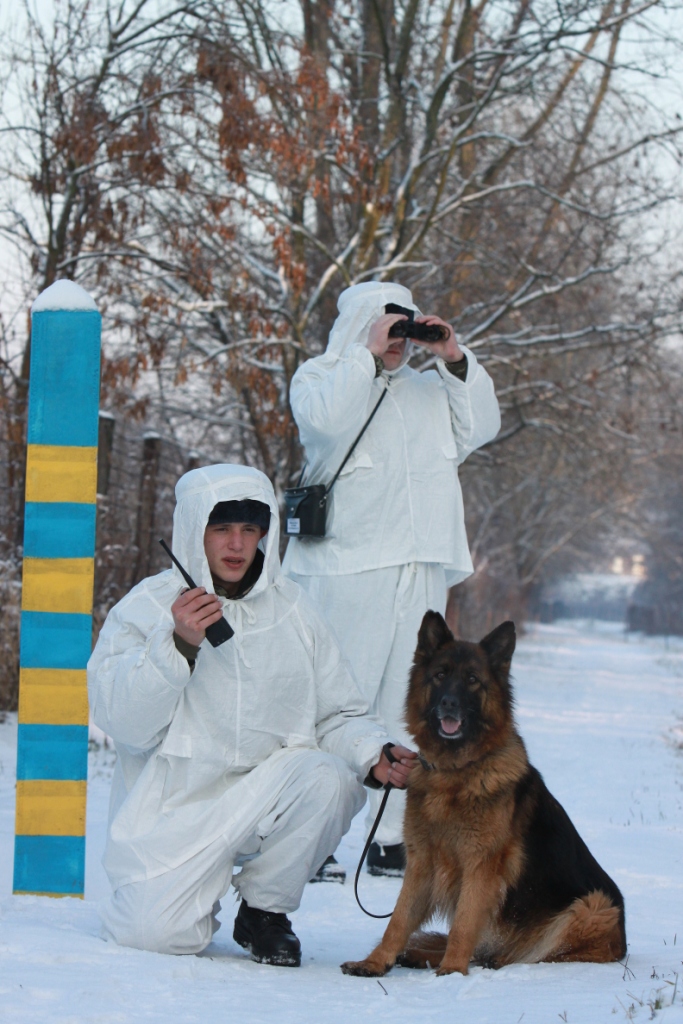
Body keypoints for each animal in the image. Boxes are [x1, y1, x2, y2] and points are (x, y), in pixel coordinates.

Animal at [342, 610, 626, 978]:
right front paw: (376, 962)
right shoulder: (422, 862)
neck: (455, 773)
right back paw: (419, 955)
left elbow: (464, 923)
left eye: (473, 680)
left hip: (594, 907)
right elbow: (399, 920)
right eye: (440, 675)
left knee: (533, 953)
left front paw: (451, 972)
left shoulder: (481, 867)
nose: (449, 703)